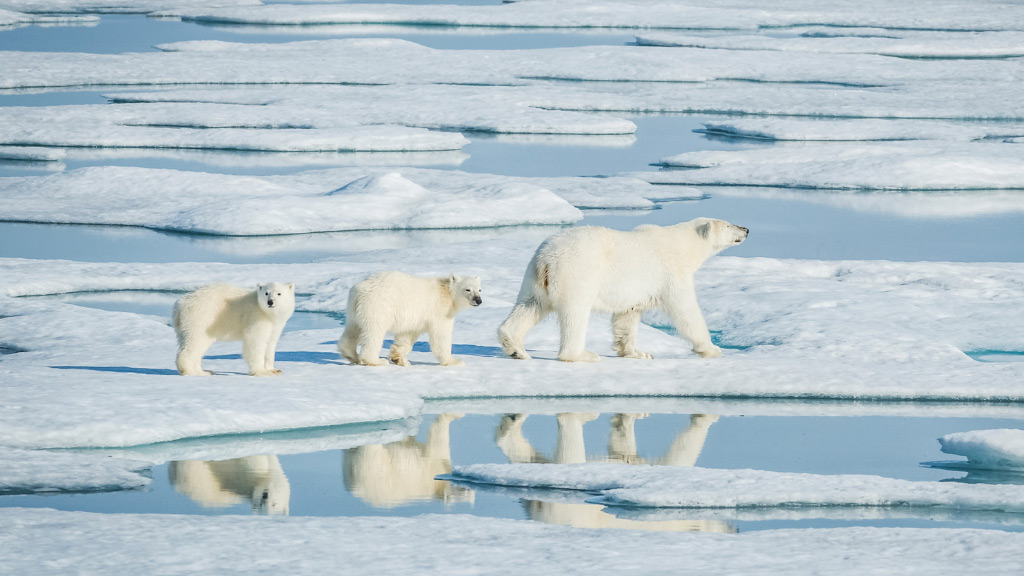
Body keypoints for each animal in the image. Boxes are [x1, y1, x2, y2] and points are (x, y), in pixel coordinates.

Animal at [338, 271, 482, 367]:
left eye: (480, 289)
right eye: (468, 289)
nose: (478, 300)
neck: (447, 293)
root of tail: (361, 289)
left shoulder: (414, 318)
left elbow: (406, 336)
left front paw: (400, 359)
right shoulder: (440, 312)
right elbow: (441, 336)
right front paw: (455, 361)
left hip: (354, 309)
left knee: (353, 329)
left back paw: (351, 355)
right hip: (379, 306)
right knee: (374, 333)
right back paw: (376, 360)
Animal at [497, 217, 748, 362]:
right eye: (728, 224)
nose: (746, 229)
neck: (682, 245)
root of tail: (546, 259)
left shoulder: (634, 290)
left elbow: (627, 316)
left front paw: (638, 353)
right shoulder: (671, 273)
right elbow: (685, 311)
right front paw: (712, 348)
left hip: (534, 279)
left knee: (529, 306)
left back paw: (516, 349)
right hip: (576, 273)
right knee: (575, 313)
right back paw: (582, 355)